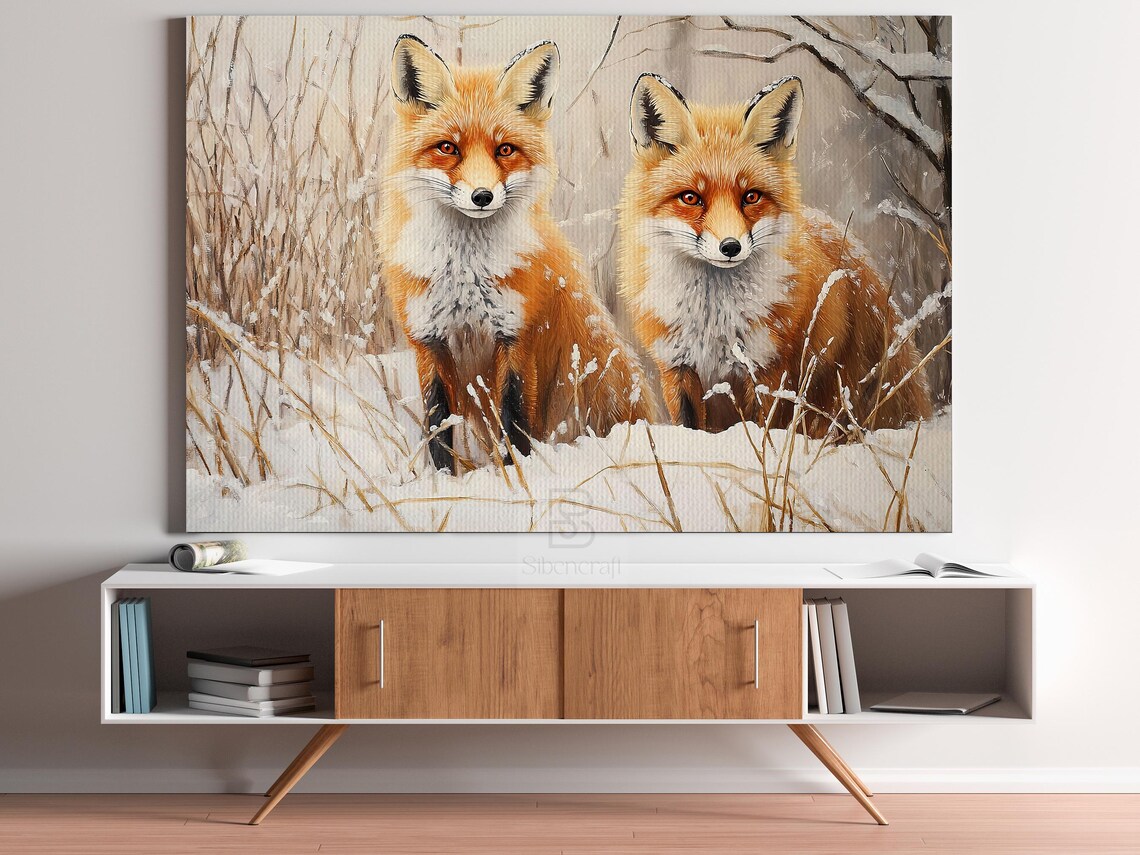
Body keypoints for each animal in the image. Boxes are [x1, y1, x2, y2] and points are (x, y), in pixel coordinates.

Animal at [377, 35, 650, 472]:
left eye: (504, 149)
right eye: (448, 148)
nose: (482, 196)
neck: (464, 274)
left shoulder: (517, 338)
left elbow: (514, 420)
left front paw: (514, 479)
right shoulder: (428, 342)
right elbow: (438, 428)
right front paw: (442, 480)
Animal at [617, 73, 933, 438]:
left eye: (751, 196)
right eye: (691, 198)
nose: (730, 247)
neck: (713, 320)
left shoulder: (767, 370)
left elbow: (762, 431)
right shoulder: (677, 368)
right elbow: (690, 427)